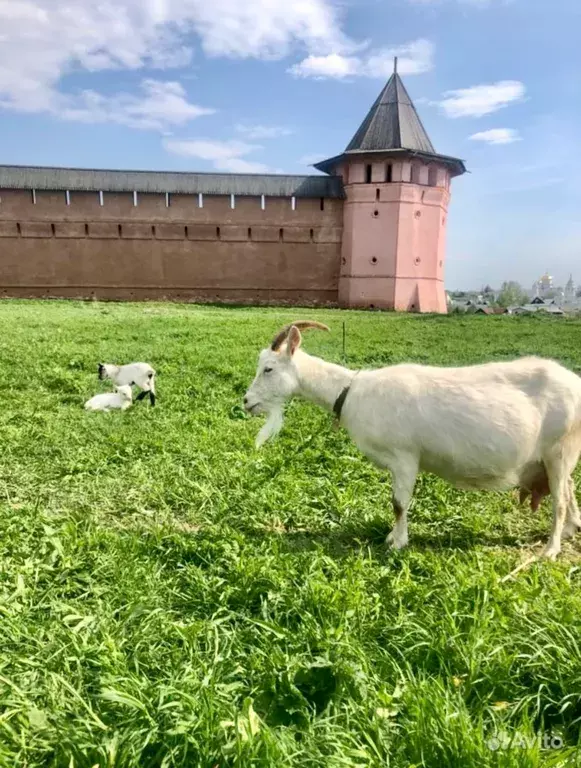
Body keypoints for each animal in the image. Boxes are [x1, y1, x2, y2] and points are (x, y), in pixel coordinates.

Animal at [244, 320, 581, 560]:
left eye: (269, 368)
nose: (246, 402)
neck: (352, 392)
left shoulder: (405, 457)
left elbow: (398, 503)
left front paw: (396, 542)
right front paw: (394, 538)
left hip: (559, 449)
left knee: (560, 500)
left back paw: (550, 550)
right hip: (558, 456)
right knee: (569, 489)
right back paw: (569, 531)